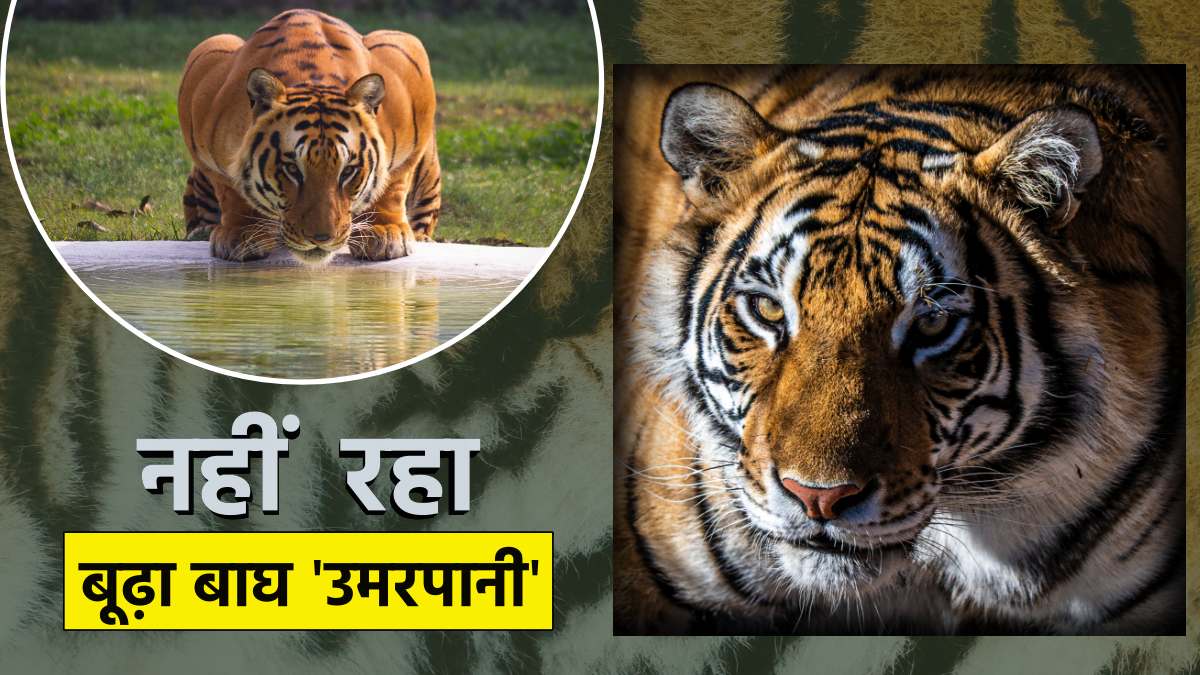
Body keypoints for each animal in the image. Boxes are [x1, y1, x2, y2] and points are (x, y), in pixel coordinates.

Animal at [177, 9, 441, 264]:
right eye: (292, 169)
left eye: (348, 171)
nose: (321, 239)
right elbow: (230, 188)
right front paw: (241, 233)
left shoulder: (408, 64)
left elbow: (393, 182)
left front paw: (385, 232)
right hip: (217, 42)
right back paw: (202, 231)